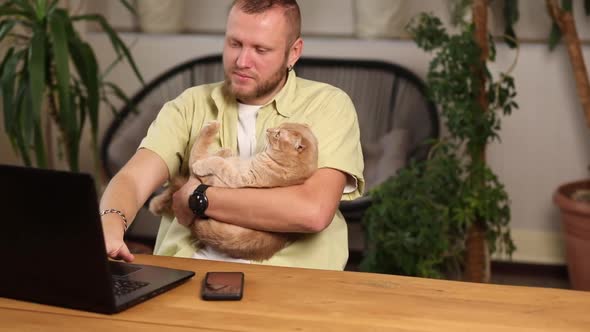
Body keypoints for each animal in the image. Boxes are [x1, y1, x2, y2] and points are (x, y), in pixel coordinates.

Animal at [150, 120, 322, 260]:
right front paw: (225, 150)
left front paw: (212, 140)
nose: (269, 129)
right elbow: (216, 157)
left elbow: (210, 160)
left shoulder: (233, 177)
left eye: (278, 134)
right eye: (278, 128)